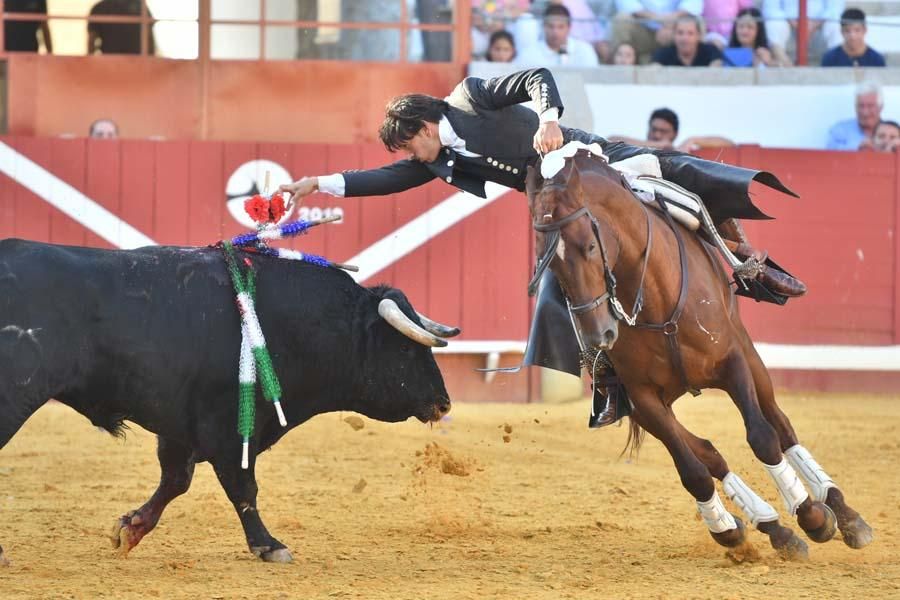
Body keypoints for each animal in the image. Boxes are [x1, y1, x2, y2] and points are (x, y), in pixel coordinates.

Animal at [0, 238, 450, 564]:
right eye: (405, 349)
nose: (444, 403)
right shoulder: (230, 425)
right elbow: (242, 486)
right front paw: (270, 545)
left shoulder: (180, 425)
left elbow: (176, 480)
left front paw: (130, 528)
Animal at [528, 151, 872, 564]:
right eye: (548, 263)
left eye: (590, 247)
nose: (600, 335)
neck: (655, 298)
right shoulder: (643, 398)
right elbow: (691, 469)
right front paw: (733, 529)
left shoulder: (732, 362)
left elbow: (763, 437)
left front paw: (812, 515)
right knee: (709, 453)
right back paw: (762, 525)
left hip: (752, 360)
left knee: (781, 426)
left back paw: (842, 513)